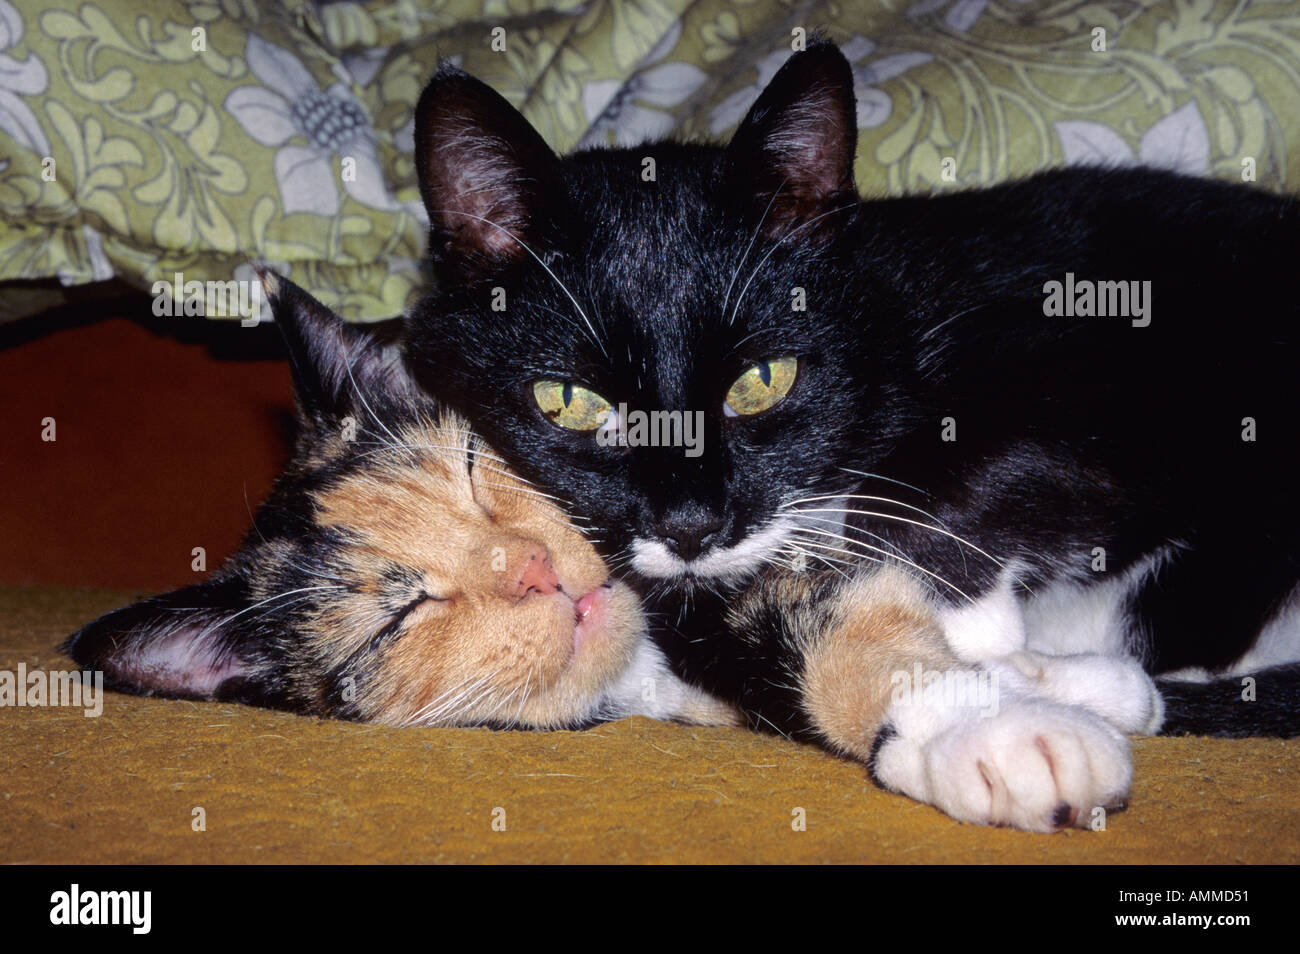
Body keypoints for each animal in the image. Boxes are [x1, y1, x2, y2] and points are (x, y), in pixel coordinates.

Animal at [400, 41, 1300, 816]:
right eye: (570, 401)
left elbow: (957, 493)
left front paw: (981, 647)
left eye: (762, 381)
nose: (691, 526)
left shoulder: (1114, 364)